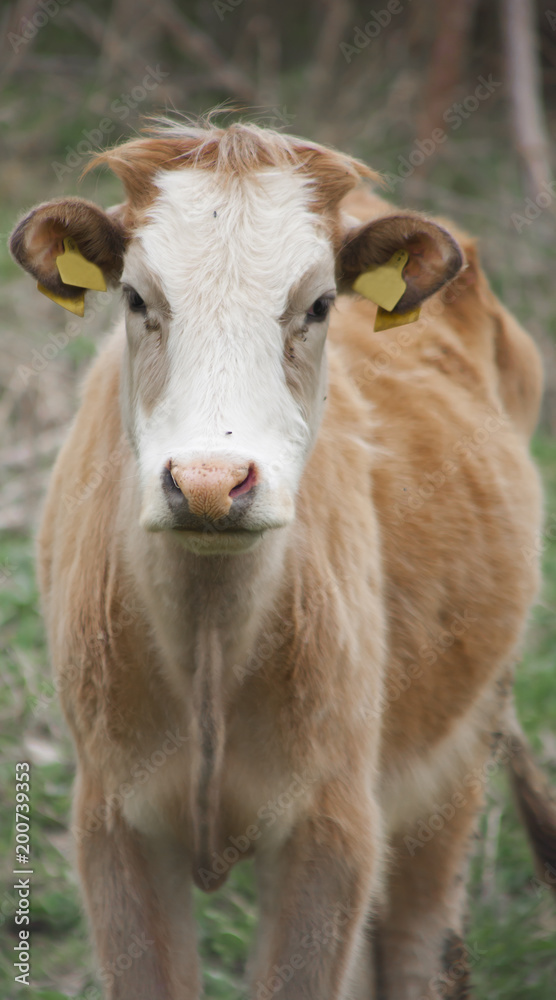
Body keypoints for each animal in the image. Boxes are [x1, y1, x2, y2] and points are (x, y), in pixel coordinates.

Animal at [8, 119, 556, 1000]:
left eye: (321, 304)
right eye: (136, 298)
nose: (209, 482)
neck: (207, 640)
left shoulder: (330, 829)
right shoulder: (113, 823)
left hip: (458, 753)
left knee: (419, 938)